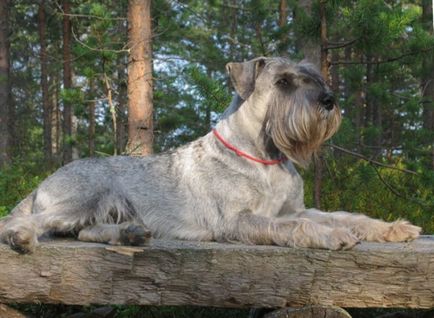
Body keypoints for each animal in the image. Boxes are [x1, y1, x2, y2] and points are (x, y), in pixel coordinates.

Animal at [0, 56, 420, 252]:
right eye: (284, 82)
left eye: (313, 77)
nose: (329, 101)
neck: (264, 156)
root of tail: (42, 183)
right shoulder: (238, 220)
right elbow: (294, 228)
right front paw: (331, 235)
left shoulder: (294, 208)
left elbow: (345, 215)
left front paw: (393, 228)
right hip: (84, 197)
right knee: (26, 222)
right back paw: (21, 236)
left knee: (86, 231)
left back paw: (131, 233)